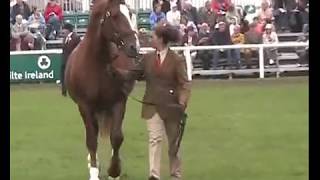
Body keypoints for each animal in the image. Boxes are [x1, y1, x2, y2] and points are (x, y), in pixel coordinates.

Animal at [64, 0, 141, 179]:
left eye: (130, 14)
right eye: (115, 16)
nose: (134, 46)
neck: (97, 63)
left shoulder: (118, 102)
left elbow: (117, 137)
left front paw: (114, 170)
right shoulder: (85, 106)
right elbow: (91, 140)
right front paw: (93, 171)